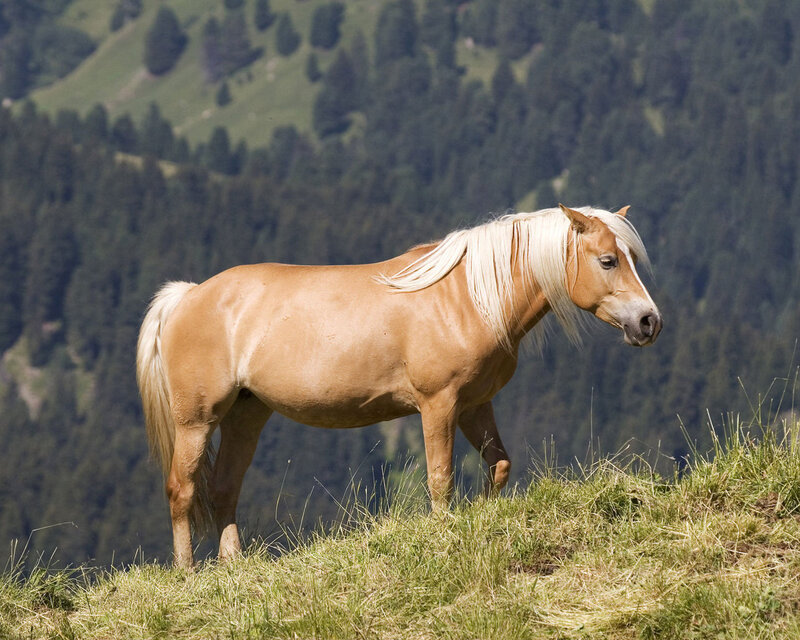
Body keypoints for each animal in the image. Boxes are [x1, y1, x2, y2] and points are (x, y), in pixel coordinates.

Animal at [136, 204, 662, 568]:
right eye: (608, 261)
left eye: (632, 258)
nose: (648, 322)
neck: (468, 296)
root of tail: (188, 295)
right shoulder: (438, 405)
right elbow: (440, 478)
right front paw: (446, 537)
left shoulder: (476, 406)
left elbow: (499, 466)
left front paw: (486, 517)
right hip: (196, 420)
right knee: (182, 490)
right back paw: (187, 573)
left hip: (247, 413)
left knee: (224, 488)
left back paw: (234, 568)